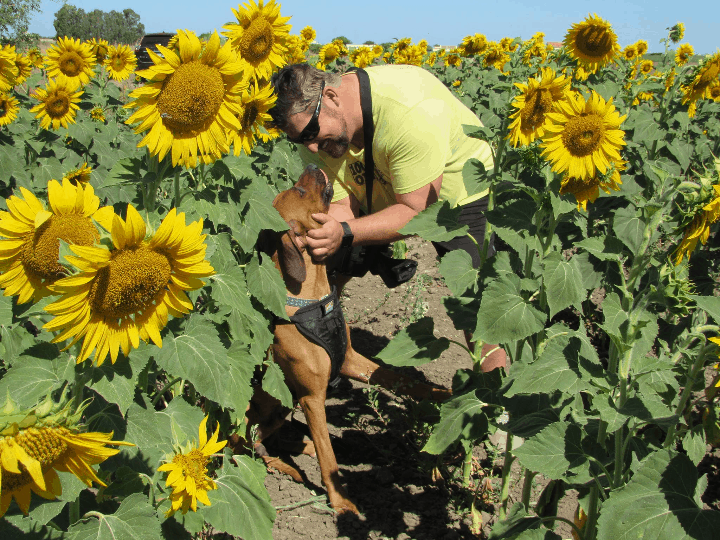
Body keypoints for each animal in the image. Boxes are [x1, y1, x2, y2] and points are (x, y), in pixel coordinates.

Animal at [242, 163, 450, 516]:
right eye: (299, 191)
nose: (312, 165)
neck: (315, 302)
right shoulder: (312, 397)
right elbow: (330, 459)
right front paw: (341, 503)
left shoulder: (351, 360)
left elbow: (403, 380)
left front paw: (444, 393)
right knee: (246, 448)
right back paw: (287, 465)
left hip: (281, 409)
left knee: (271, 439)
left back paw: (301, 448)